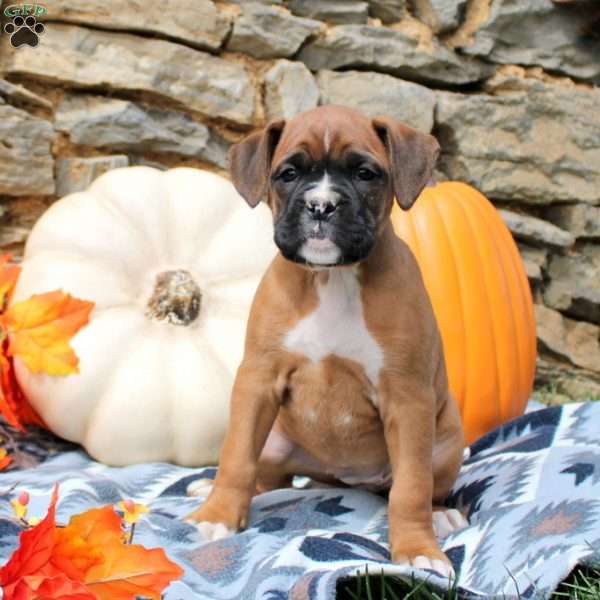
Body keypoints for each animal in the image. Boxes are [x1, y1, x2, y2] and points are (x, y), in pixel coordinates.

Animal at [185, 105, 466, 576]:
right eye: (288, 174)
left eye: (366, 174)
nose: (321, 204)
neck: (332, 278)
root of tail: (340, 479)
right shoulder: (257, 381)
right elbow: (236, 456)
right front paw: (217, 516)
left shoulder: (408, 399)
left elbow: (411, 487)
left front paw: (418, 549)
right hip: (275, 442)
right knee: (266, 479)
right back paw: (211, 489)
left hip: (446, 442)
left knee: (427, 486)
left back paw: (442, 514)